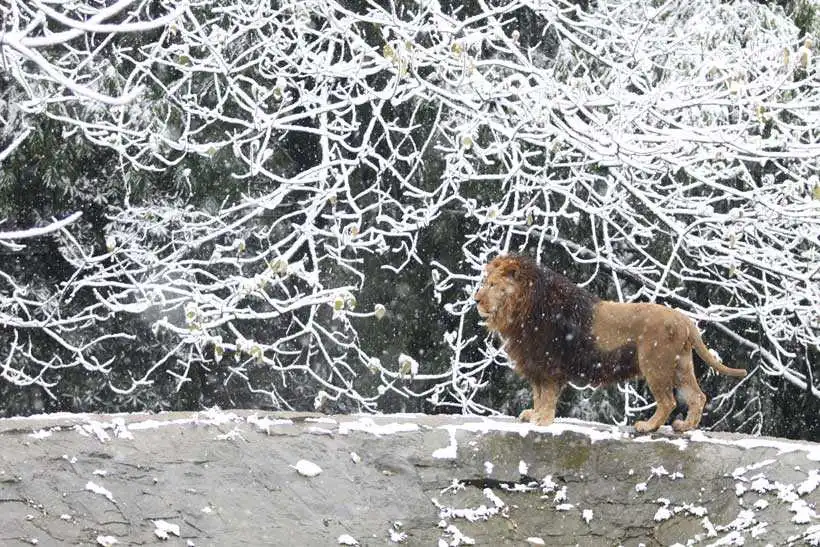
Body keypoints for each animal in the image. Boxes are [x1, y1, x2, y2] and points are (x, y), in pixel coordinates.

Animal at [474, 255, 748, 434]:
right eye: (484, 283)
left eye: (492, 285)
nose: (476, 299)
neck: (523, 309)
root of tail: (684, 319)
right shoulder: (535, 364)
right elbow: (537, 394)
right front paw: (533, 415)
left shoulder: (549, 363)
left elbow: (548, 395)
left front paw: (543, 421)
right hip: (681, 364)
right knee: (697, 396)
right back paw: (685, 427)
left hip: (655, 364)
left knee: (668, 401)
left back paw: (647, 426)